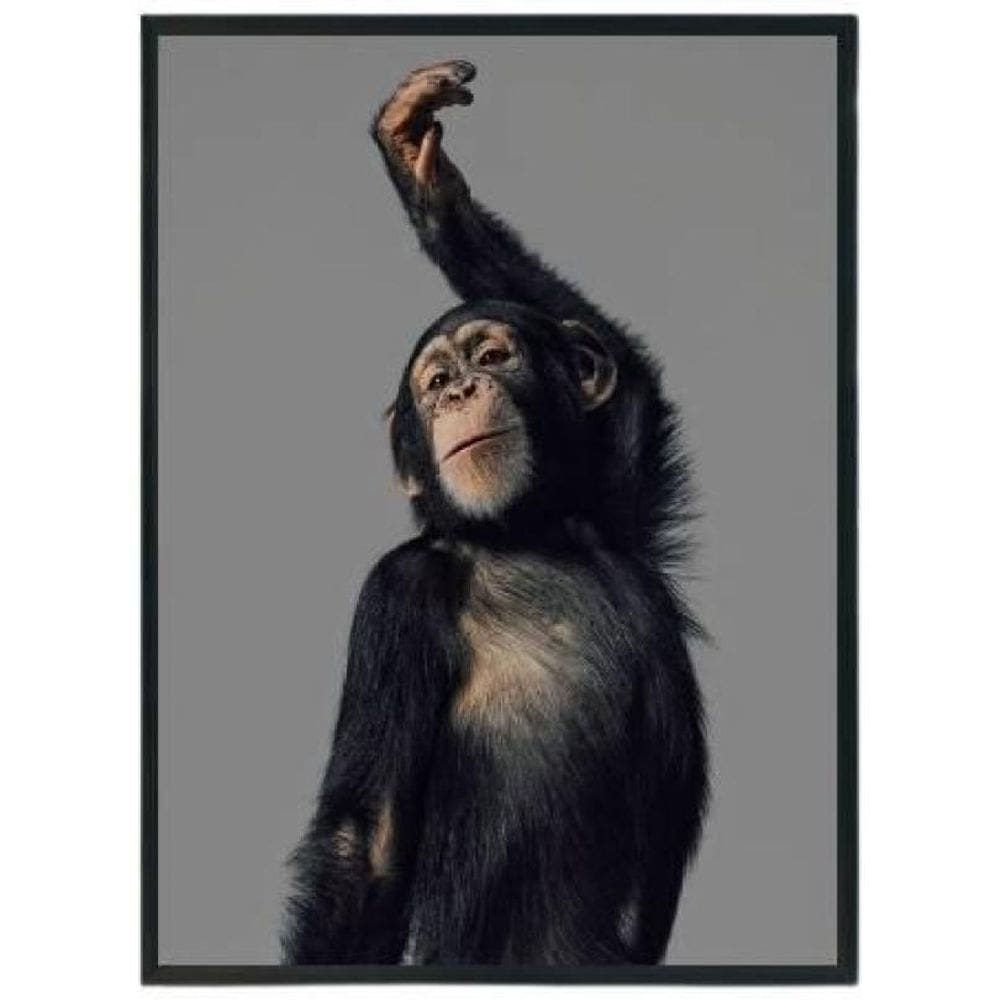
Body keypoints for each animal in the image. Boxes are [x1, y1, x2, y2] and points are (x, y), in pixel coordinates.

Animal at [281, 60, 708, 966]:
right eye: (434, 380)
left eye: (491, 354)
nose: (459, 391)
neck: (517, 535)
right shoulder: (396, 597)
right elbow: (366, 844)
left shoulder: (614, 497)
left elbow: (630, 379)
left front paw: (425, 174)